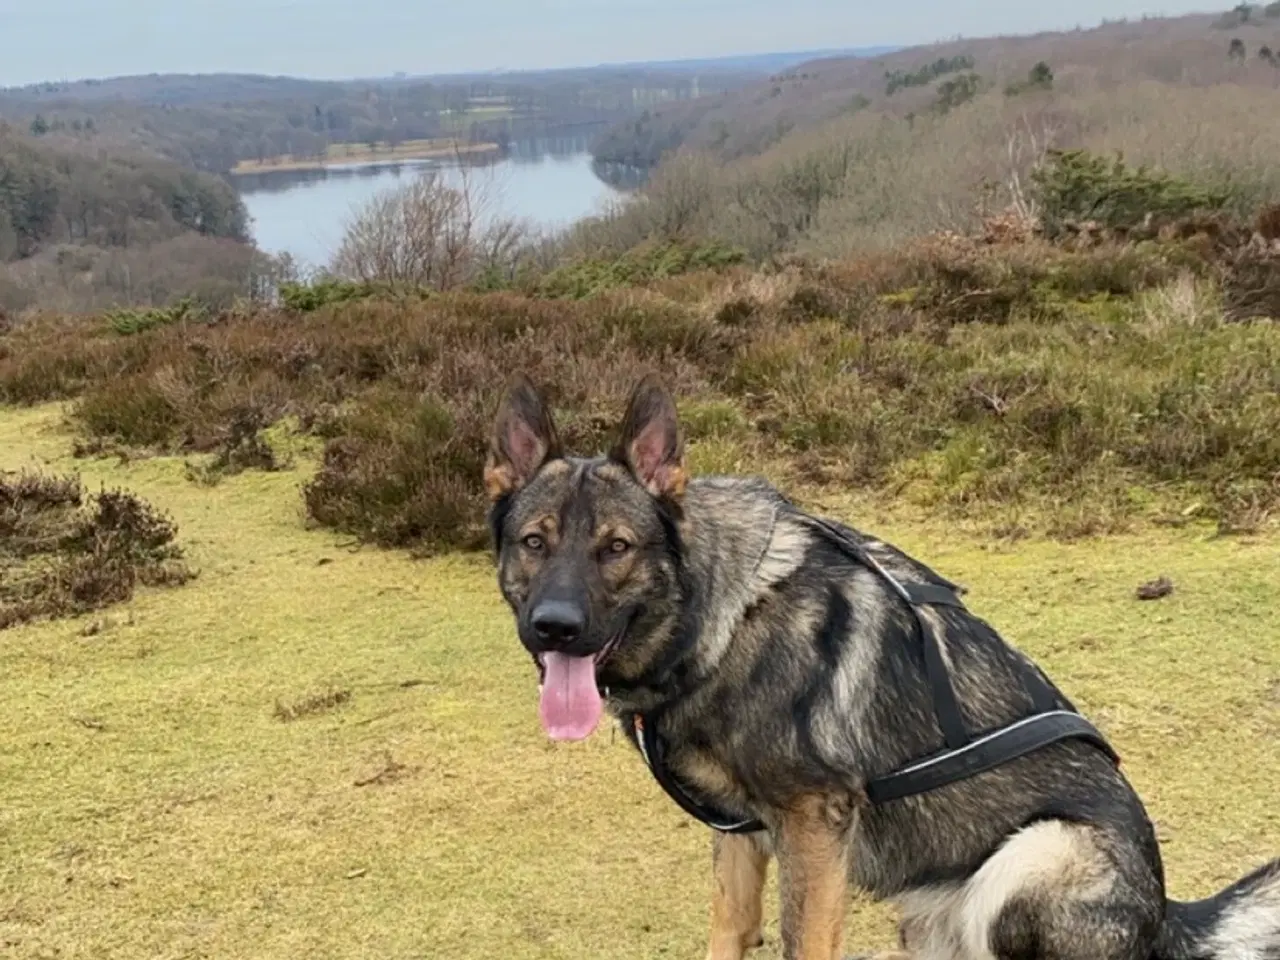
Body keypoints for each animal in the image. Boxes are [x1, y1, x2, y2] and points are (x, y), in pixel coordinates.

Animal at [481, 373, 1280, 960]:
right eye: (534, 542)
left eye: (616, 548)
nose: (556, 627)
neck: (718, 616)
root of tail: (1166, 918)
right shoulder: (739, 835)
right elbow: (728, 932)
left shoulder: (813, 828)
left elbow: (803, 946)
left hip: (1033, 856)